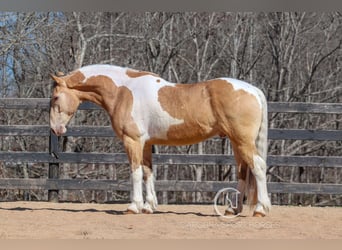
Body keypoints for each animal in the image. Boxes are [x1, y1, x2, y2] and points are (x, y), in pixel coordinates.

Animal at [49, 64, 272, 217]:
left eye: (55, 97)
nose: (55, 129)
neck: (123, 91)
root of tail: (253, 90)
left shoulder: (133, 141)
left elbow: (136, 173)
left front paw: (134, 206)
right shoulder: (146, 144)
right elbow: (148, 173)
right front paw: (149, 206)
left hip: (243, 142)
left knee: (258, 167)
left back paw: (260, 209)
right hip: (236, 142)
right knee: (243, 171)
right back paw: (233, 209)